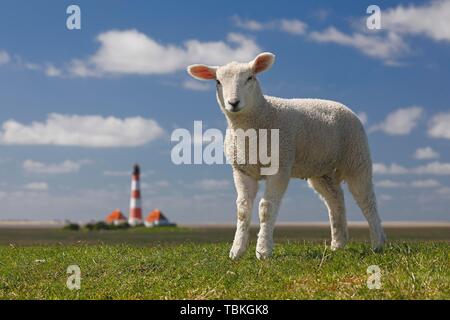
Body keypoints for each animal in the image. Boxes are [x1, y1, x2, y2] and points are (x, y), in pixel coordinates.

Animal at [188, 51, 384, 258]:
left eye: (250, 77)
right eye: (218, 81)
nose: (233, 103)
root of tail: (342, 106)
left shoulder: (279, 165)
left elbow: (266, 208)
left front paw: (263, 250)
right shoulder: (241, 170)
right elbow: (242, 210)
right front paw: (237, 250)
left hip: (357, 157)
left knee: (367, 201)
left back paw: (378, 243)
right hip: (322, 171)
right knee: (335, 200)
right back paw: (338, 244)